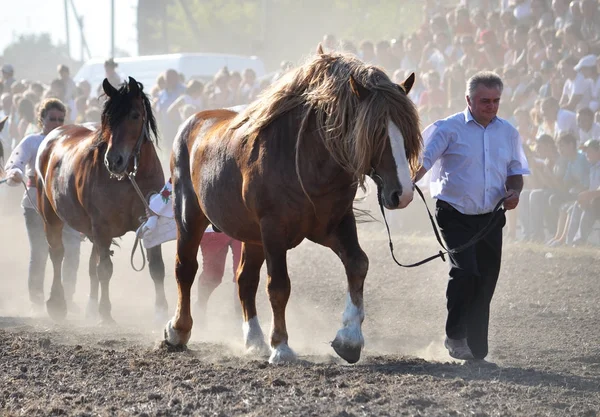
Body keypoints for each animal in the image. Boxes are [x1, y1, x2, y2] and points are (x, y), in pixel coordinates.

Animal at [36, 76, 168, 322]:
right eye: (107, 118)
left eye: (134, 115)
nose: (114, 160)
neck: (130, 178)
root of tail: (53, 135)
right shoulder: (102, 227)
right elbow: (105, 270)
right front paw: (105, 312)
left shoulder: (150, 221)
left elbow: (156, 267)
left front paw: (162, 311)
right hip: (51, 215)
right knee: (58, 254)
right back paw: (57, 302)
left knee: (91, 264)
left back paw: (89, 307)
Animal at [164, 47, 422, 362]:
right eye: (375, 134)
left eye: (407, 134)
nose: (403, 193)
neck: (306, 160)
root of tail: (193, 122)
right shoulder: (274, 228)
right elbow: (278, 286)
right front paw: (281, 346)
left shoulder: (334, 224)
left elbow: (357, 264)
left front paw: (349, 339)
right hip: (190, 217)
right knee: (186, 269)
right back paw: (178, 330)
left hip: (252, 236)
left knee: (245, 280)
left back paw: (254, 339)